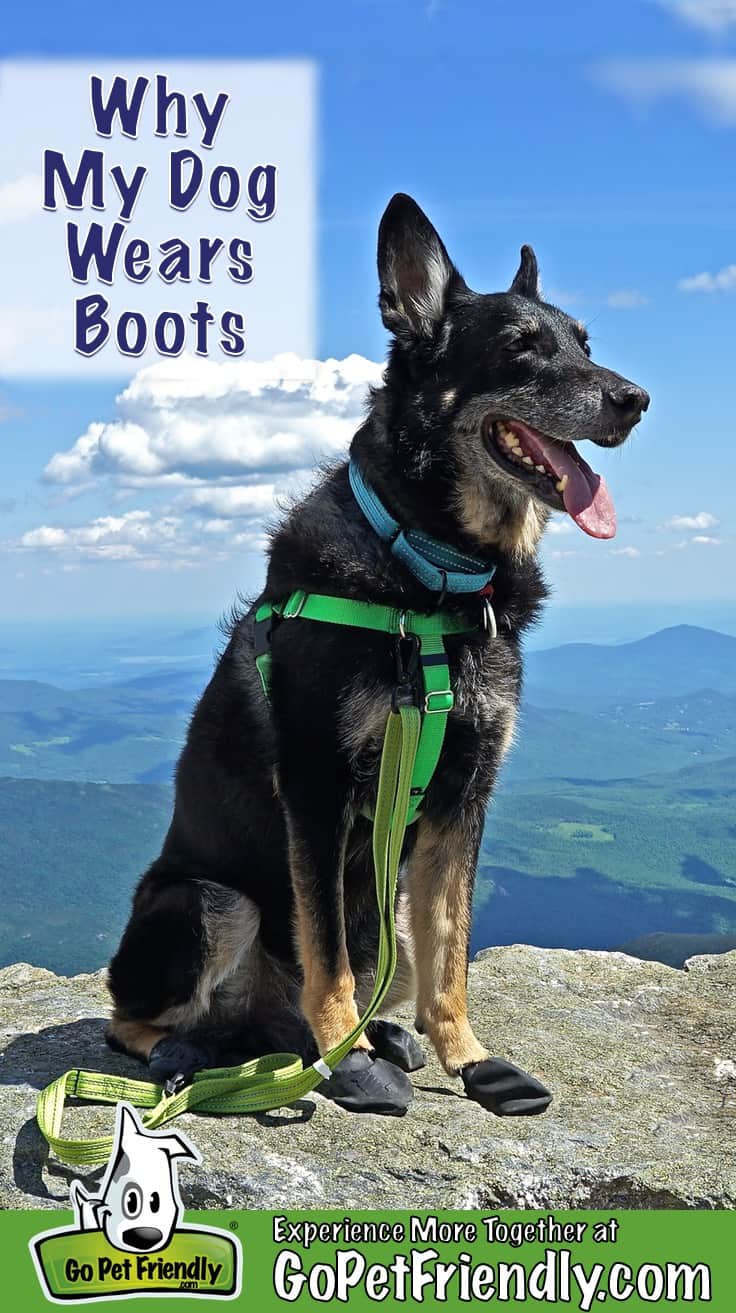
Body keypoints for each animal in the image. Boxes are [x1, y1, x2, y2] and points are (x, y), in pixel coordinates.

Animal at [104, 194, 648, 1118]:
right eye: (521, 347)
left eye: (583, 339)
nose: (634, 399)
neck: (430, 579)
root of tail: (258, 1027)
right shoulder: (319, 792)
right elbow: (325, 954)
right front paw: (347, 1060)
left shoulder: (464, 797)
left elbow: (449, 951)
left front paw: (468, 1057)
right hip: (204, 900)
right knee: (132, 1015)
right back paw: (200, 1051)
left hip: (377, 911)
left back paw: (378, 1036)